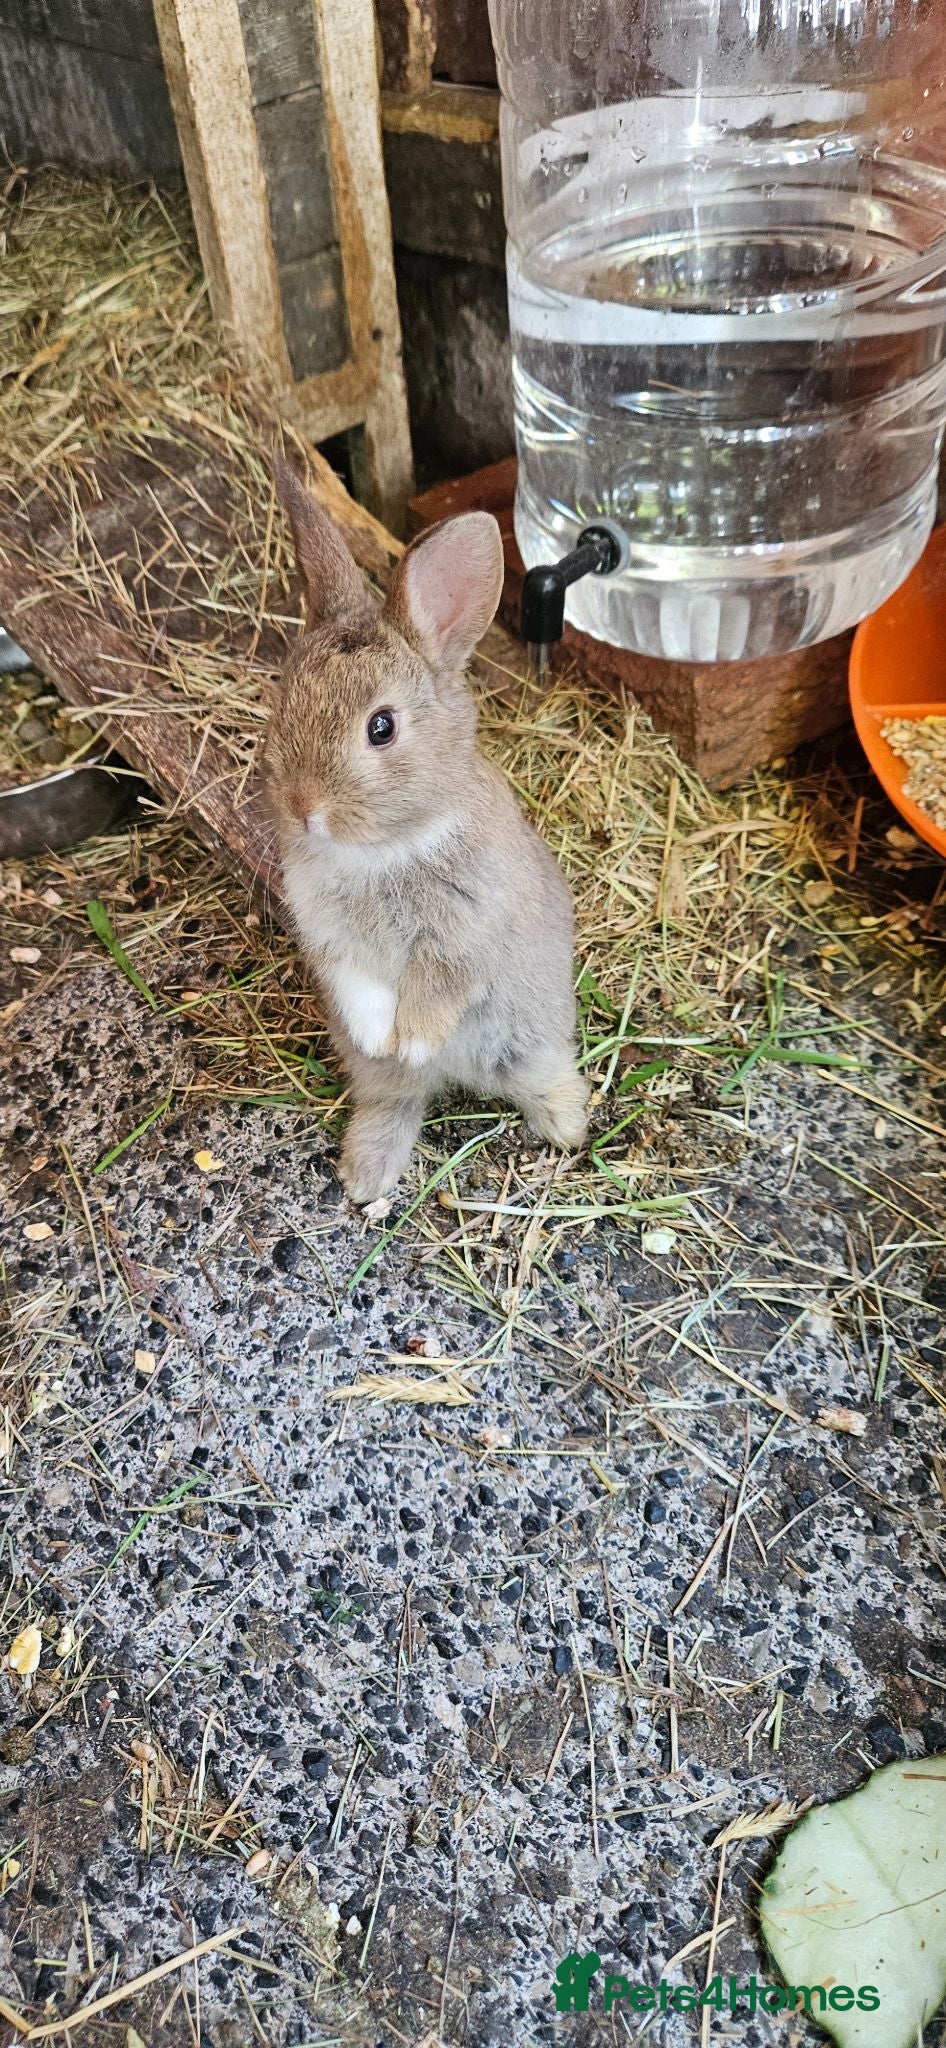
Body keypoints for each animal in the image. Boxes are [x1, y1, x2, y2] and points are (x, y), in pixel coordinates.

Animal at [262, 458, 589, 1206]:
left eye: (381, 728)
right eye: (281, 698)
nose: (301, 806)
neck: (381, 849)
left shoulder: (465, 933)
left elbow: (441, 984)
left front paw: (412, 1039)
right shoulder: (332, 941)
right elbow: (360, 988)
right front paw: (382, 1037)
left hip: (528, 1038)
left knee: (542, 1077)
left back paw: (567, 1126)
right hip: (386, 1089)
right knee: (395, 1101)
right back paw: (365, 1177)